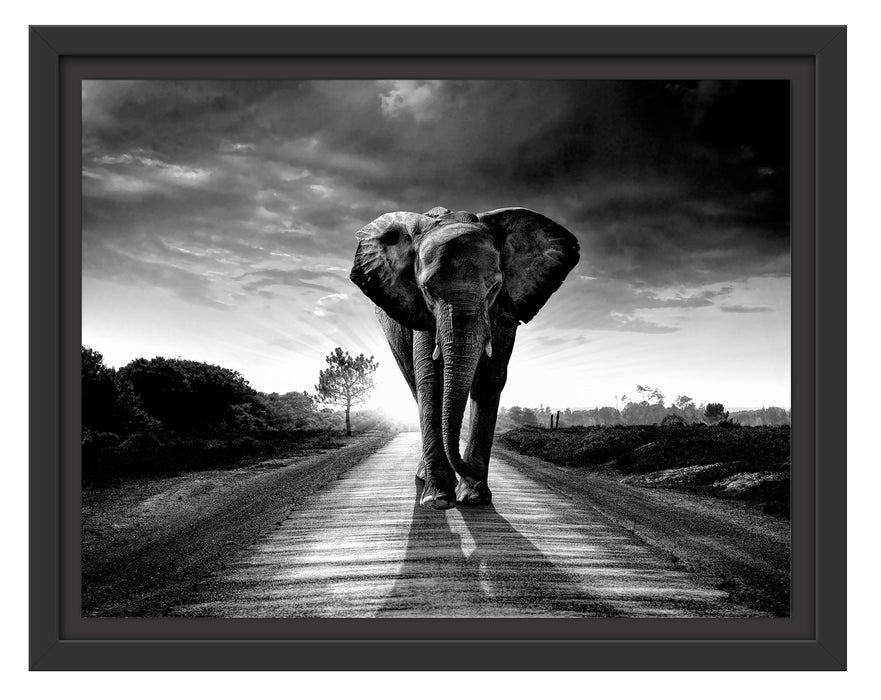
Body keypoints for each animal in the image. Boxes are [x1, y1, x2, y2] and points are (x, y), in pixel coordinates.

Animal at [349, 206, 579, 509]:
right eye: (427, 290)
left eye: (494, 288)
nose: (469, 477)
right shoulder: (421, 312)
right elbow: (431, 380)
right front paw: (438, 499)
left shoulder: (503, 311)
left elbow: (490, 379)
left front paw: (474, 497)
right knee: (415, 385)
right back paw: (425, 478)